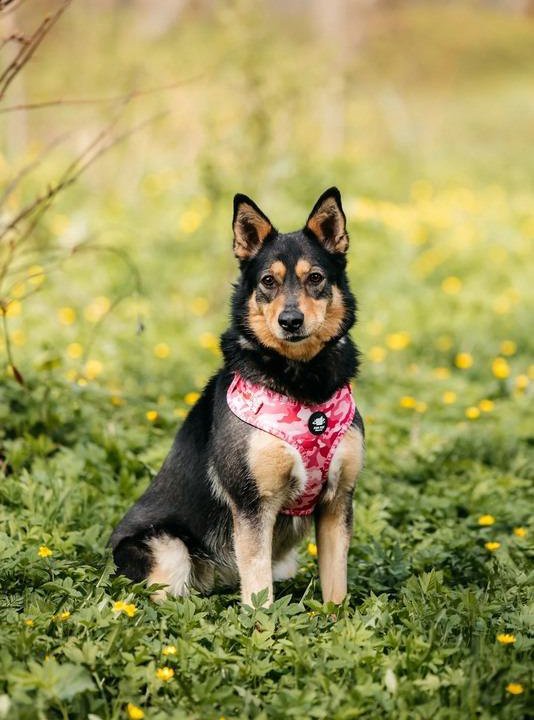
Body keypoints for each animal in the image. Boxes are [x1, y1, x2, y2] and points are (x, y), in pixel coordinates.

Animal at [111, 188, 366, 604]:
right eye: (267, 281)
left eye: (315, 278)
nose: (290, 321)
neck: (302, 382)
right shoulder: (252, 505)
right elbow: (259, 591)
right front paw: (263, 622)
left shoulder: (337, 501)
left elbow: (336, 588)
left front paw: (337, 618)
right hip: (168, 549)